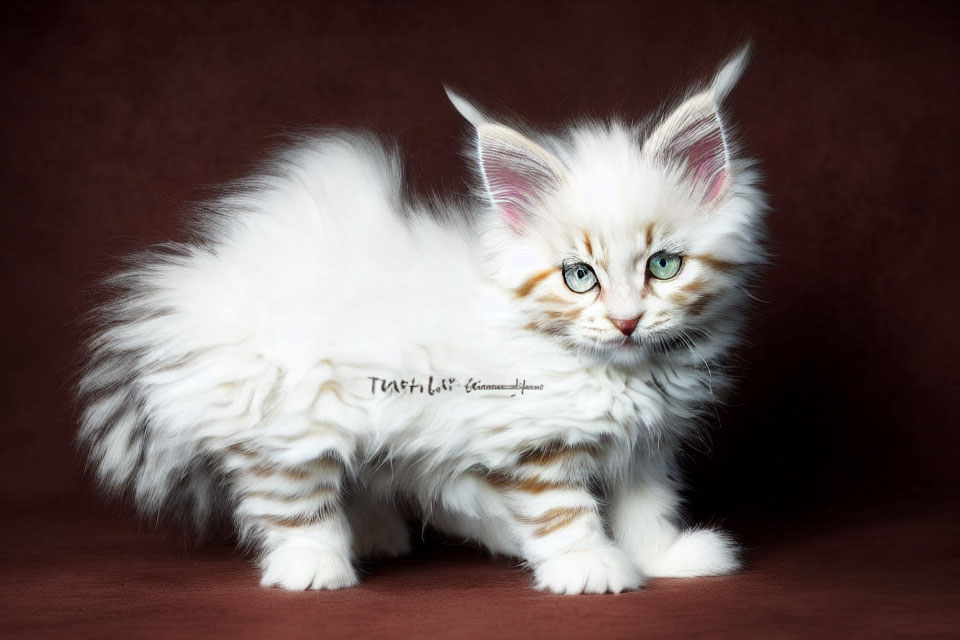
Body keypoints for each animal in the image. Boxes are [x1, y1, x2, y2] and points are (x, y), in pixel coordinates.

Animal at [75, 50, 764, 596]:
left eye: (664, 265)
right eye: (579, 276)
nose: (625, 321)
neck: (625, 372)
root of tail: (204, 288)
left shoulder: (648, 445)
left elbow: (647, 508)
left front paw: (662, 559)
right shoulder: (532, 437)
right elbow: (562, 511)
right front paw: (589, 568)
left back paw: (382, 536)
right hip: (288, 408)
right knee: (290, 495)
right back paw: (315, 566)